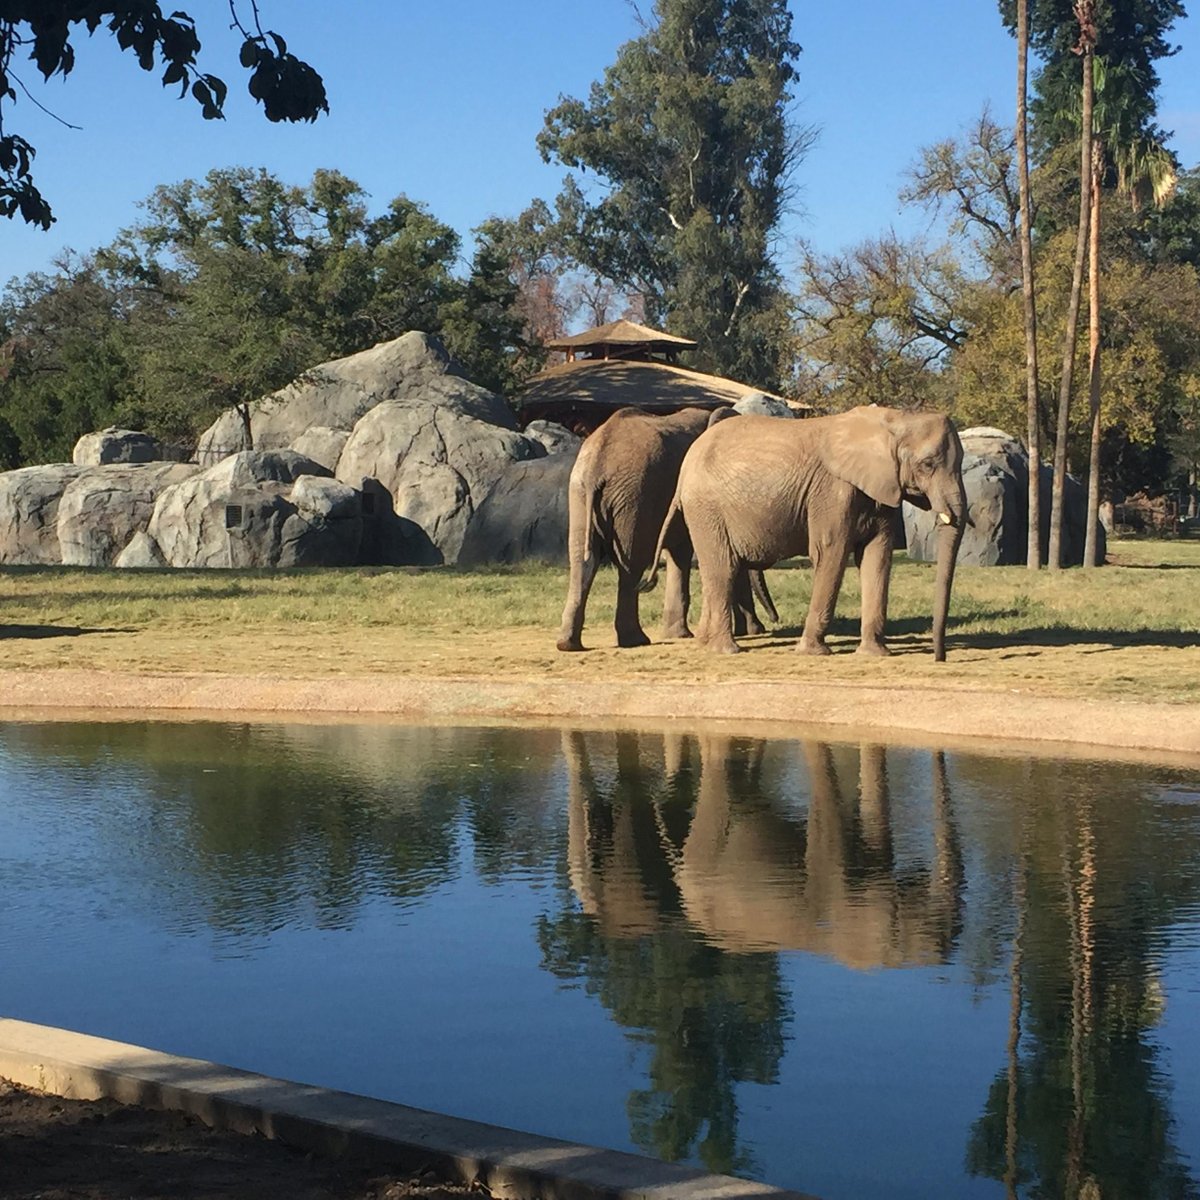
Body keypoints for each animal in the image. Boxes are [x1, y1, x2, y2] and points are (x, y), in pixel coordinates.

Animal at [554, 412, 777, 657]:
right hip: (635, 497)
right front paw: (752, 631)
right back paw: (636, 640)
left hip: (581, 493)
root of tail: (597, 463)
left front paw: (679, 634)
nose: (774, 621)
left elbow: (681, 555)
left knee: (582, 562)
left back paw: (568, 645)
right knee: (632, 563)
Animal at [643, 408, 969, 662]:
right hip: (706, 508)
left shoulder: (881, 491)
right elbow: (831, 552)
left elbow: (877, 557)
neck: (895, 419)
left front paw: (875, 654)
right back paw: (726, 650)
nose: (940, 658)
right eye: (928, 465)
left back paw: (705, 643)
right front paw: (813, 652)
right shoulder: (831, 492)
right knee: (723, 568)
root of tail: (686, 465)